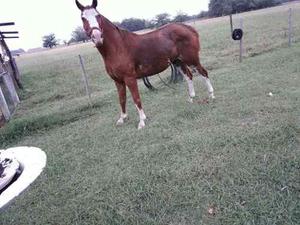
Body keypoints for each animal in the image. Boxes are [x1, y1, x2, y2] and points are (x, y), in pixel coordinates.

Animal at [76, 0, 214, 129]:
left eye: (98, 16)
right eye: (83, 18)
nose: (97, 37)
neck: (117, 47)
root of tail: (187, 28)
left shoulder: (130, 78)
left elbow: (136, 98)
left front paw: (142, 121)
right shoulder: (118, 80)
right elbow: (122, 99)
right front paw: (122, 118)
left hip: (191, 59)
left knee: (203, 72)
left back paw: (211, 95)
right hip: (178, 61)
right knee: (189, 76)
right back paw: (191, 98)